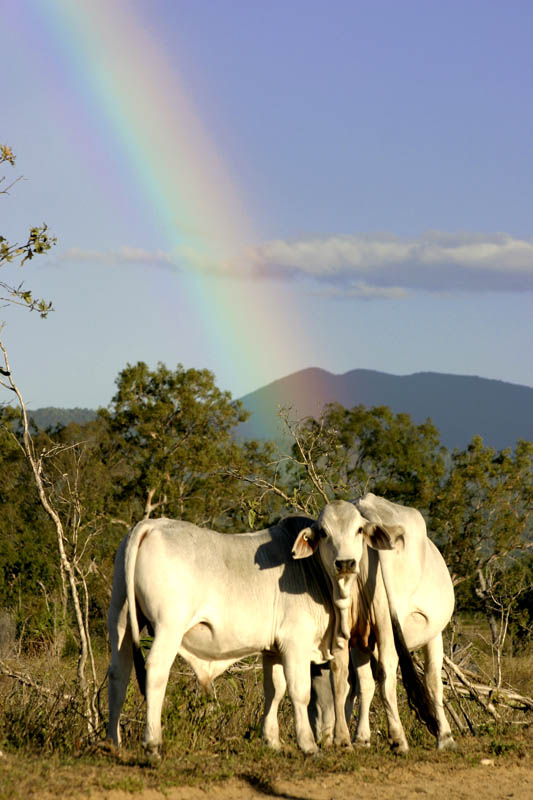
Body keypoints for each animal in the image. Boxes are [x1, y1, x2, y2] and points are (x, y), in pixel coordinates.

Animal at [106, 500, 394, 756]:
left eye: (358, 530)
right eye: (324, 532)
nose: (345, 563)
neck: (316, 573)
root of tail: (149, 525)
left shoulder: (273, 649)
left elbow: (274, 690)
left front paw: (272, 741)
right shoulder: (295, 642)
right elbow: (298, 691)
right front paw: (308, 745)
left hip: (120, 620)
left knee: (118, 674)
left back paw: (112, 743)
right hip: (169, 626)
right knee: (155, 671)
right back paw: (153, 743)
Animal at [310, 490, 456, 752]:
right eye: (324, 532)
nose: (320, 734)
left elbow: (370, 684)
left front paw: (369, 737)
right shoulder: (364, 639)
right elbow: (370, 683)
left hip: (372, 629)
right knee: (390, 675)